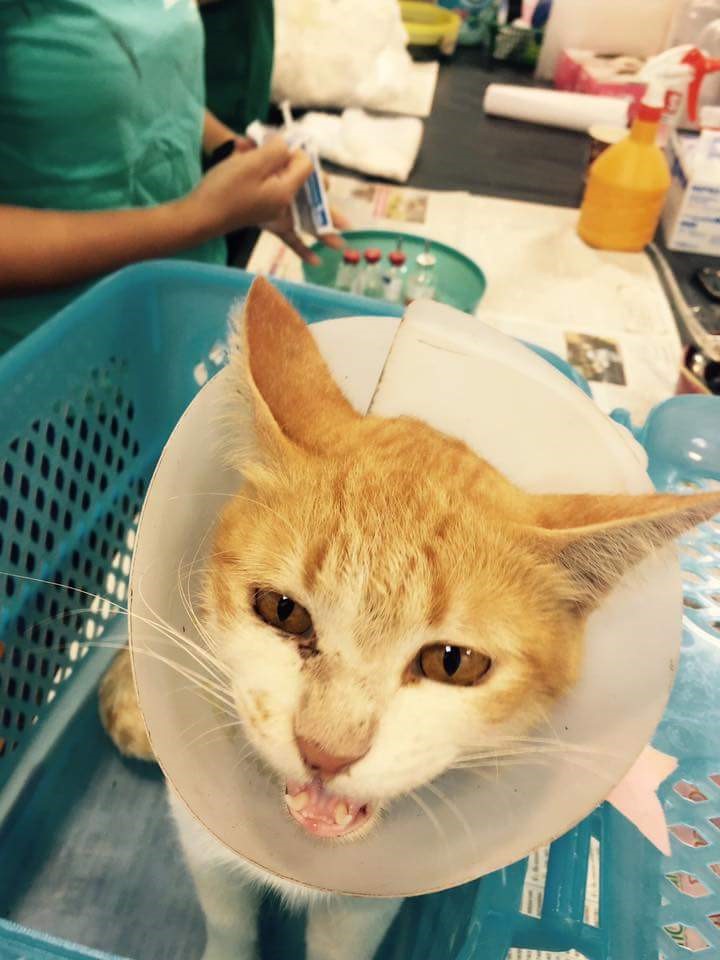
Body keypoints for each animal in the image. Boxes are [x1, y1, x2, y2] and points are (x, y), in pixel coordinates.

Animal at [100, 276, 720, 960]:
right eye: (283, 611)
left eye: (452, 662)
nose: (325, 754)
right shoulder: (203, 843)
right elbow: (228, 921)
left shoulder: (364, 906)